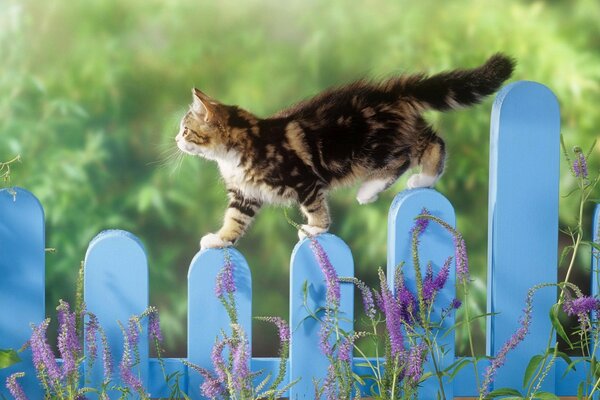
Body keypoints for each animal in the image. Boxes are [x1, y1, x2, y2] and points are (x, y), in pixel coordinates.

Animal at [175, 52, 516, 247]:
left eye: (185, 129)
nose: (176, 140)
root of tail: (391, 92)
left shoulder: (304, 180)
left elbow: (315, 208)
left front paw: (315, 229)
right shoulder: (244, 195)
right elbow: (235, 219)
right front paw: (219, 240)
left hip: (373, 147)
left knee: (422, 149)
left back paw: (421, 179)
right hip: (392, 136)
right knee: (421, 142)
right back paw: (376, 189)